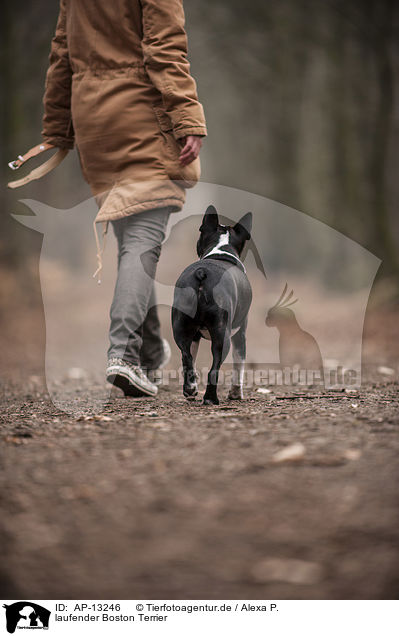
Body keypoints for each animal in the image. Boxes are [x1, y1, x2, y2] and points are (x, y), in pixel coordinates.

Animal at [172, 206, 253, 404]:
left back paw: (190, 390)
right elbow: (239, 363)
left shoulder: (194, 336)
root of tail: (203, 273)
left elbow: (192, 357)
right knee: (214, 368)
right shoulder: (240, 333)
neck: (220, 250)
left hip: (181, 327)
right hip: (222, 334)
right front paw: (235, 393)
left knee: (186, 356)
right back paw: (210, 398)